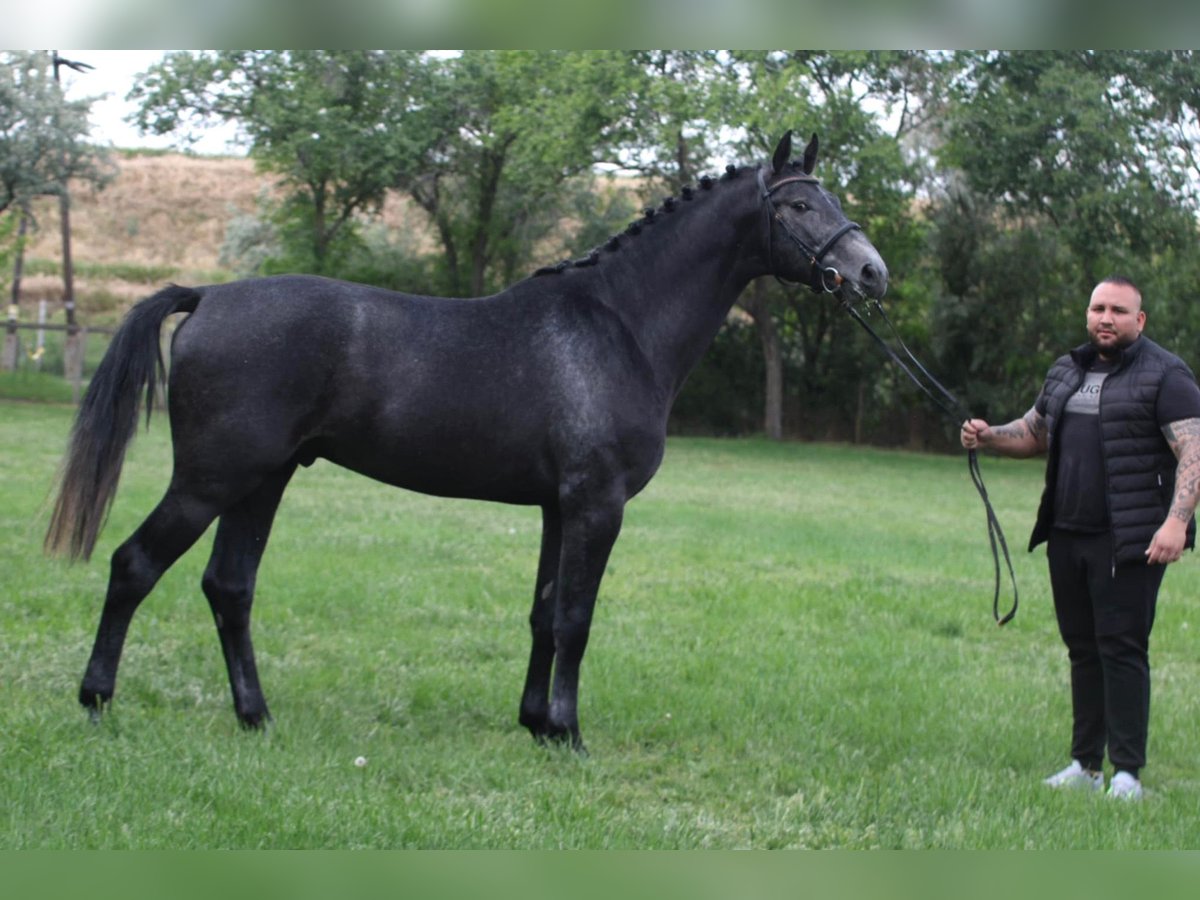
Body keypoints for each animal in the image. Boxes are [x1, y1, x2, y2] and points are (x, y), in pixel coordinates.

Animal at [45, 131, 888, 751]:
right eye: (802, 203)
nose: (872, 272)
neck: (619, 326)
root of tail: (208, 296)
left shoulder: (557, 508)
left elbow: (545, 616)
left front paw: (535, 725)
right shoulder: (597, 505)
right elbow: (577, 619)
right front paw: (569, 735)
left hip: (264, 480)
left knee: (229, 588)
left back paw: (257, 717)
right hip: (212, 480)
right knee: (135, 565)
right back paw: (96, 701)